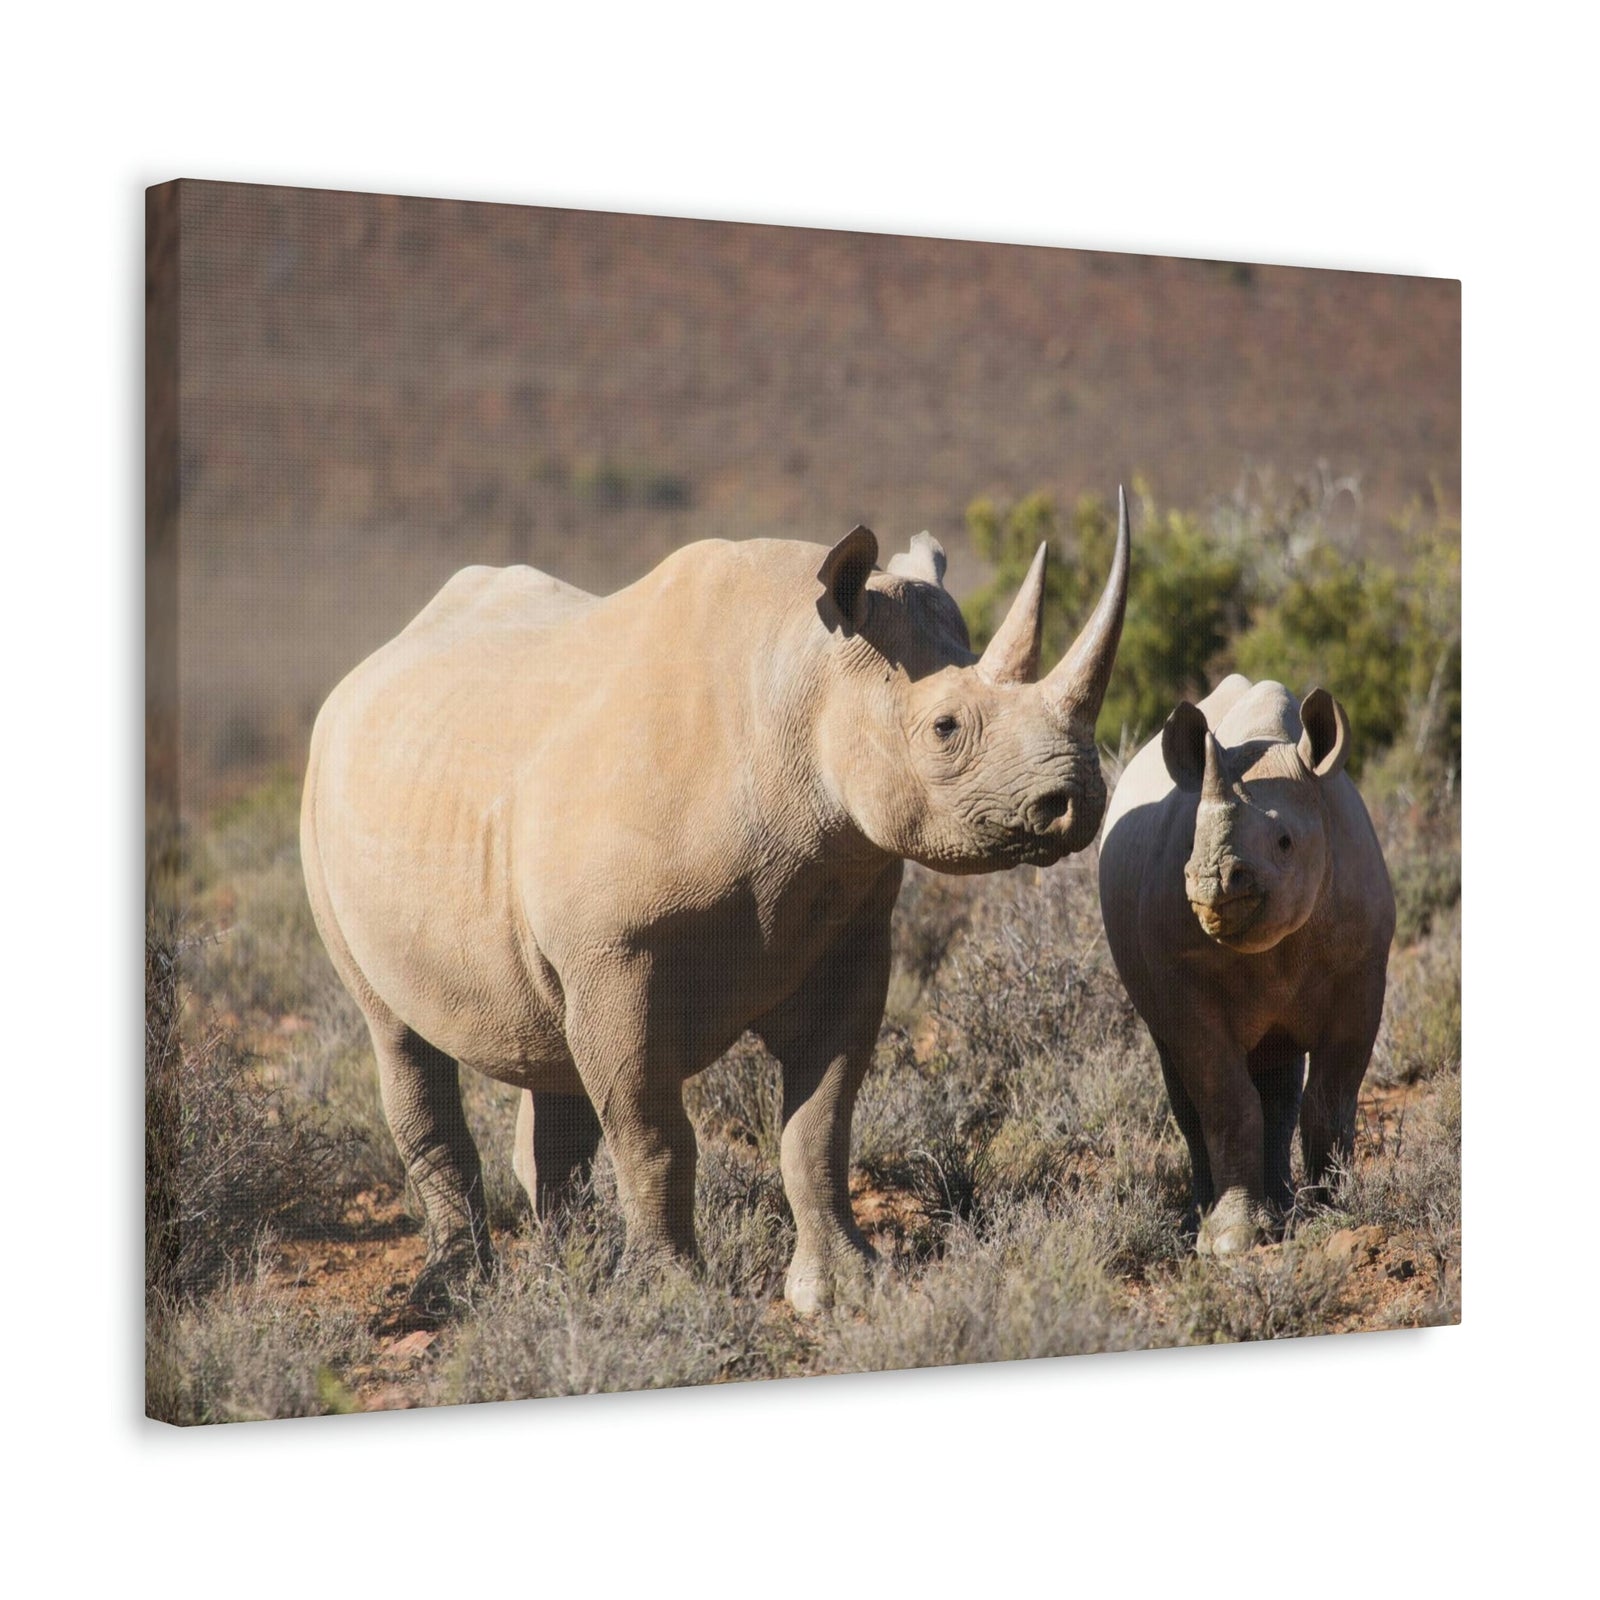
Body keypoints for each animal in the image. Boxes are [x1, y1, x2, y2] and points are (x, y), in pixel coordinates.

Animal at [302, 493, 1131, 1314]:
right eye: (945, 728)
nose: (1077, 801)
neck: (801, 683)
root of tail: (365, 669)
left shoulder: (848, 932)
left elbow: (820, 1123)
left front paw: (842, 1286)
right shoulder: (616, 955)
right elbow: (653, 1134)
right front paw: (667, 1297)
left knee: (548, 1053)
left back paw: (567, 1275)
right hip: (325, 803)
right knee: (397, 1035)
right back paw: (454, 1291)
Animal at [1097, 674, 1395, 1255]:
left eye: (1284, 842)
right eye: (1192, 840)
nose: (1210, 880)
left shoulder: (1363, 970)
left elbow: (1331, 1096)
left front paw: (1333, 1212)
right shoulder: (1181, 981)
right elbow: (1225, 1100)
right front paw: (1233, 1241)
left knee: (1279, 1077)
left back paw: (1283, 1209)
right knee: (1186, 1080)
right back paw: (1205, 1221)